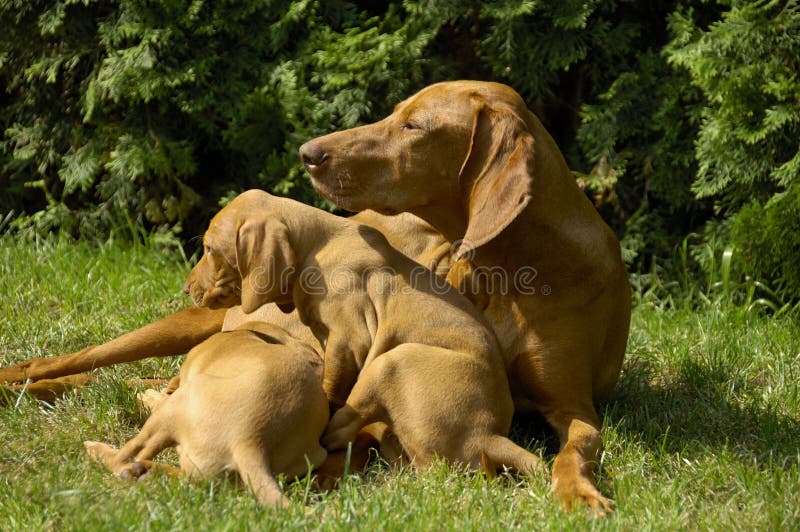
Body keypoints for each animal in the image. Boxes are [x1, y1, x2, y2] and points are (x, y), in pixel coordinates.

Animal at [83, 320, 328, 508]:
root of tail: (250, 439)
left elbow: (160, 396)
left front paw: (147, 395)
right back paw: (147, 471)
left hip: (173, 410)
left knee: (122, 459)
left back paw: (97, 450)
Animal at [183, 190, 544, 478]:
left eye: (210, 249)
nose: (186, 288)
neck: (317, 247)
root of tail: (487, 434)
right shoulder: (329, 338)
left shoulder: (351, 338)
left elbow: (332, 385)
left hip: (392, 359)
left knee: (346, 427)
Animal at [300, 79, 632, 512]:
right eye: (395, 113)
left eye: (414, 126)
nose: (308, 153)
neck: (508, 273)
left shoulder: (575, 407)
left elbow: (572, 451)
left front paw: (578, 491)